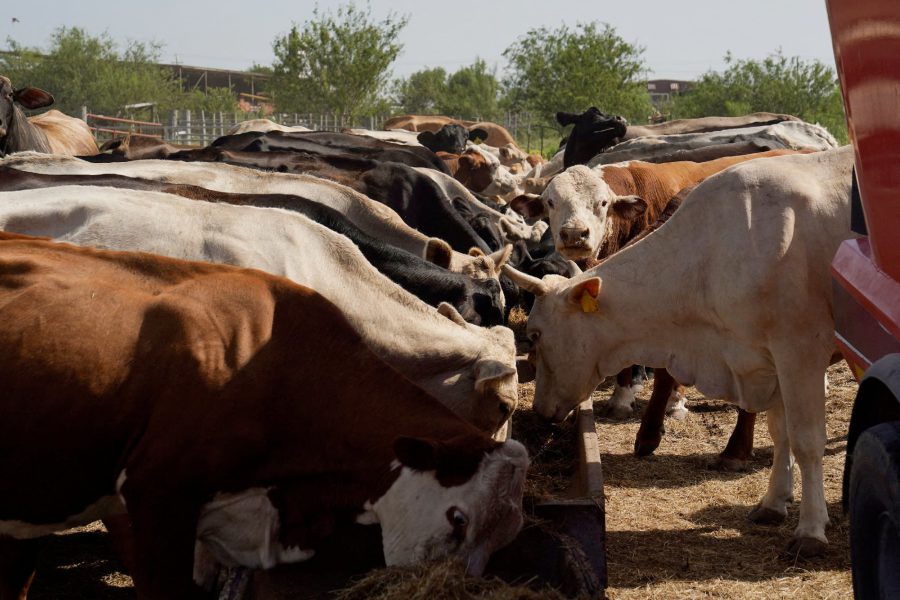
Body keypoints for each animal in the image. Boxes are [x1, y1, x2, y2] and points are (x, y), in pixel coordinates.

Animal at [503, 147, 855, 557]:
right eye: (549, 203)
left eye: (536, 334)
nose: (539, 411)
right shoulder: (765, 360)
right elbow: (780, 432)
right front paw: (773, 502)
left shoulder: (799, 351)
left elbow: (806, 440)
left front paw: (811, 529)